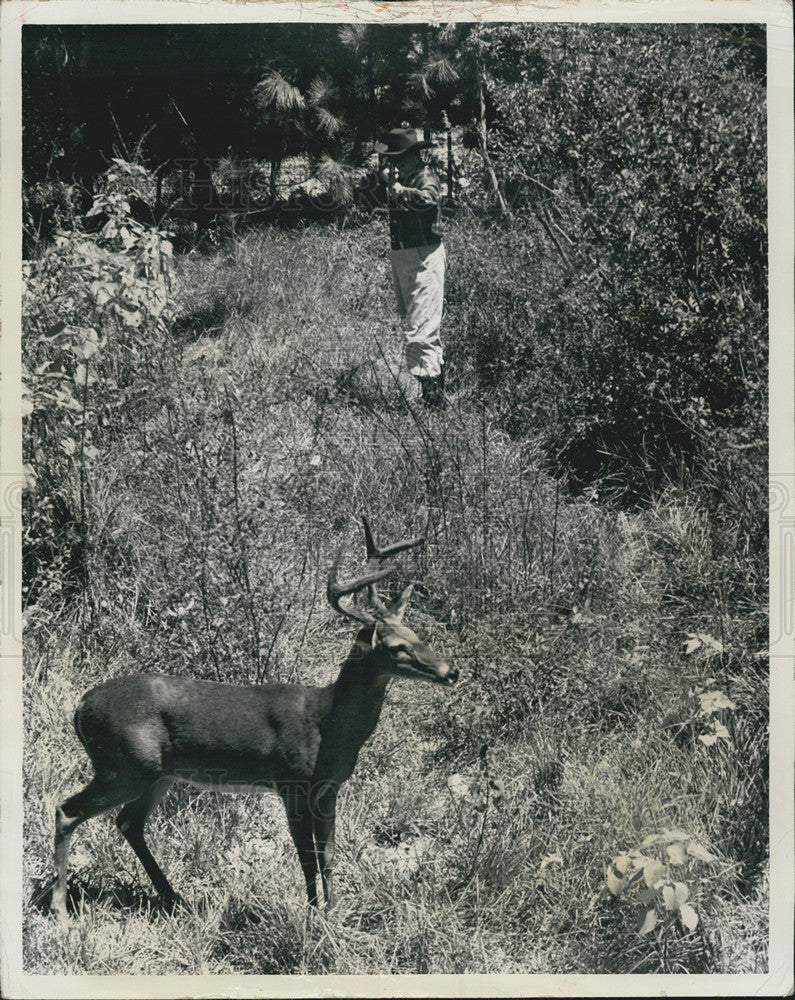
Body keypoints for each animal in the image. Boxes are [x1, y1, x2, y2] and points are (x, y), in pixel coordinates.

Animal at [51, 520, 460, 916]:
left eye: (417, 634)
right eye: (395, 647)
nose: (451, 671)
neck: (326, 721)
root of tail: (79, 707)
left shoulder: (329, 788)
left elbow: (328, 855)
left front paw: (334, 915)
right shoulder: (292, 783)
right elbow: (306, 857)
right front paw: (312, 918)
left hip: (157, 773)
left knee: (128, 822)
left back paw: (173, 898)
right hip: (123, 765)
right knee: (67, 810)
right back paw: (61, 908)